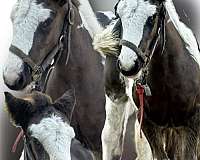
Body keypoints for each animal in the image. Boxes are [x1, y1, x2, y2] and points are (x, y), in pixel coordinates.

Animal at [94, 0, 200, 159]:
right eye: (119, 14)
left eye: (152, 17)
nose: (128, 65)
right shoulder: (147, 122)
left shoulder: (191, 124)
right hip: (116, 96)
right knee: (111, 138)